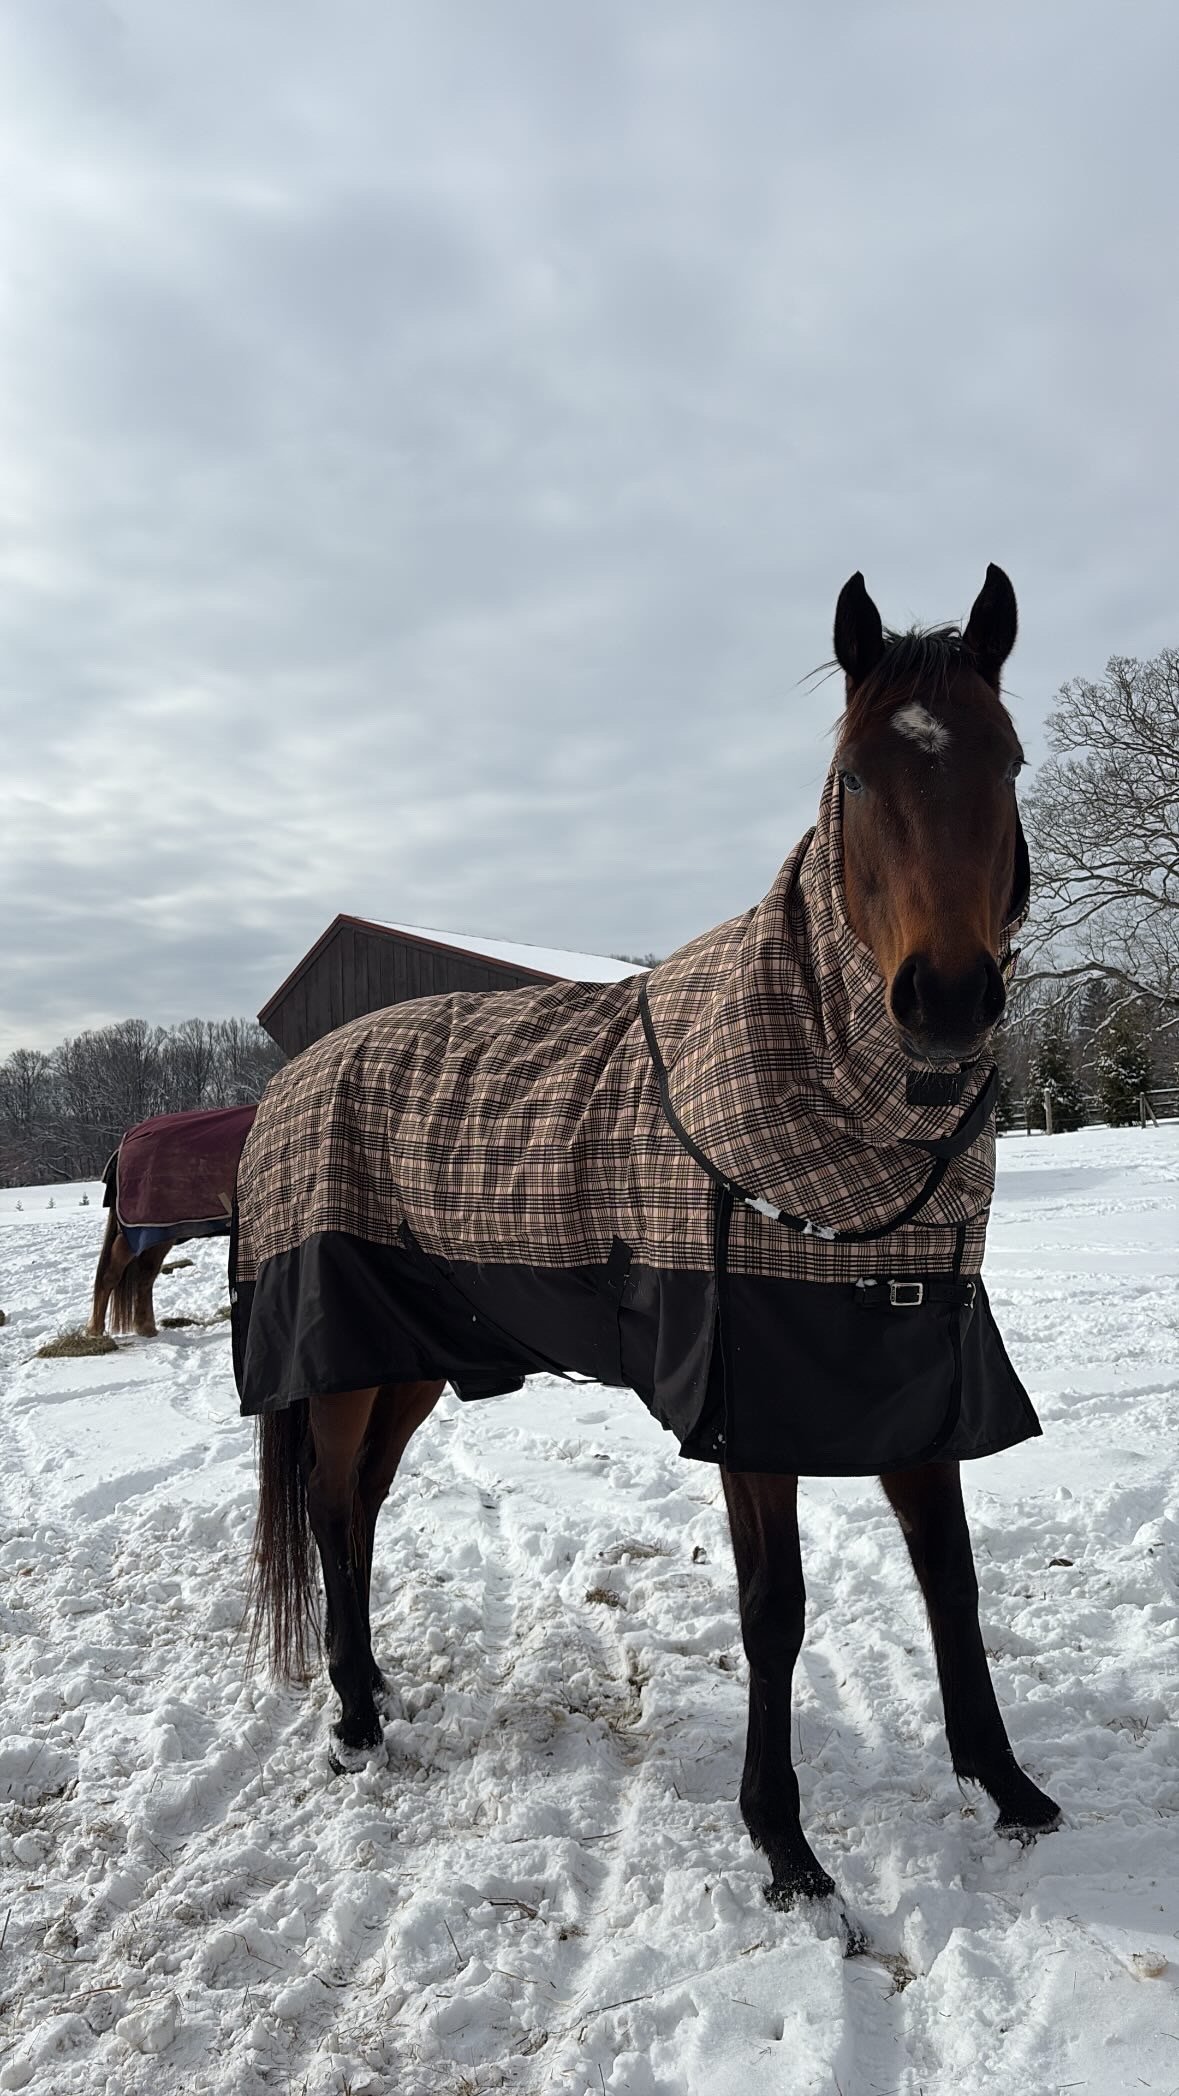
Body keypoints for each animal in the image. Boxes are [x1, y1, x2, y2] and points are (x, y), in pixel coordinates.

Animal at [89, 1104, 257, 1337]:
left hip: (158, 1235)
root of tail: (123, 1146)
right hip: (146, 1231)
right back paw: (96, 1330)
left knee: (145, 1276)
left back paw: (146, 1328)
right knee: (112, 1273)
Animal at [235, 566, 1060, 1919]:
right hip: (343, 1360)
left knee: (353, 1511)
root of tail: (291, 1080)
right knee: (331, 1507)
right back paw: (354, 1719)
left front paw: (1007, 1784)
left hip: (410, 1360)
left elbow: (952, 1572)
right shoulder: (750, 1408)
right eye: (853, 778)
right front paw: (783, 1843)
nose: (945, 1000)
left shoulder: (914, 1376)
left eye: (1009, 762)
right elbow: (774, 1607)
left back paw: (375, 1687)